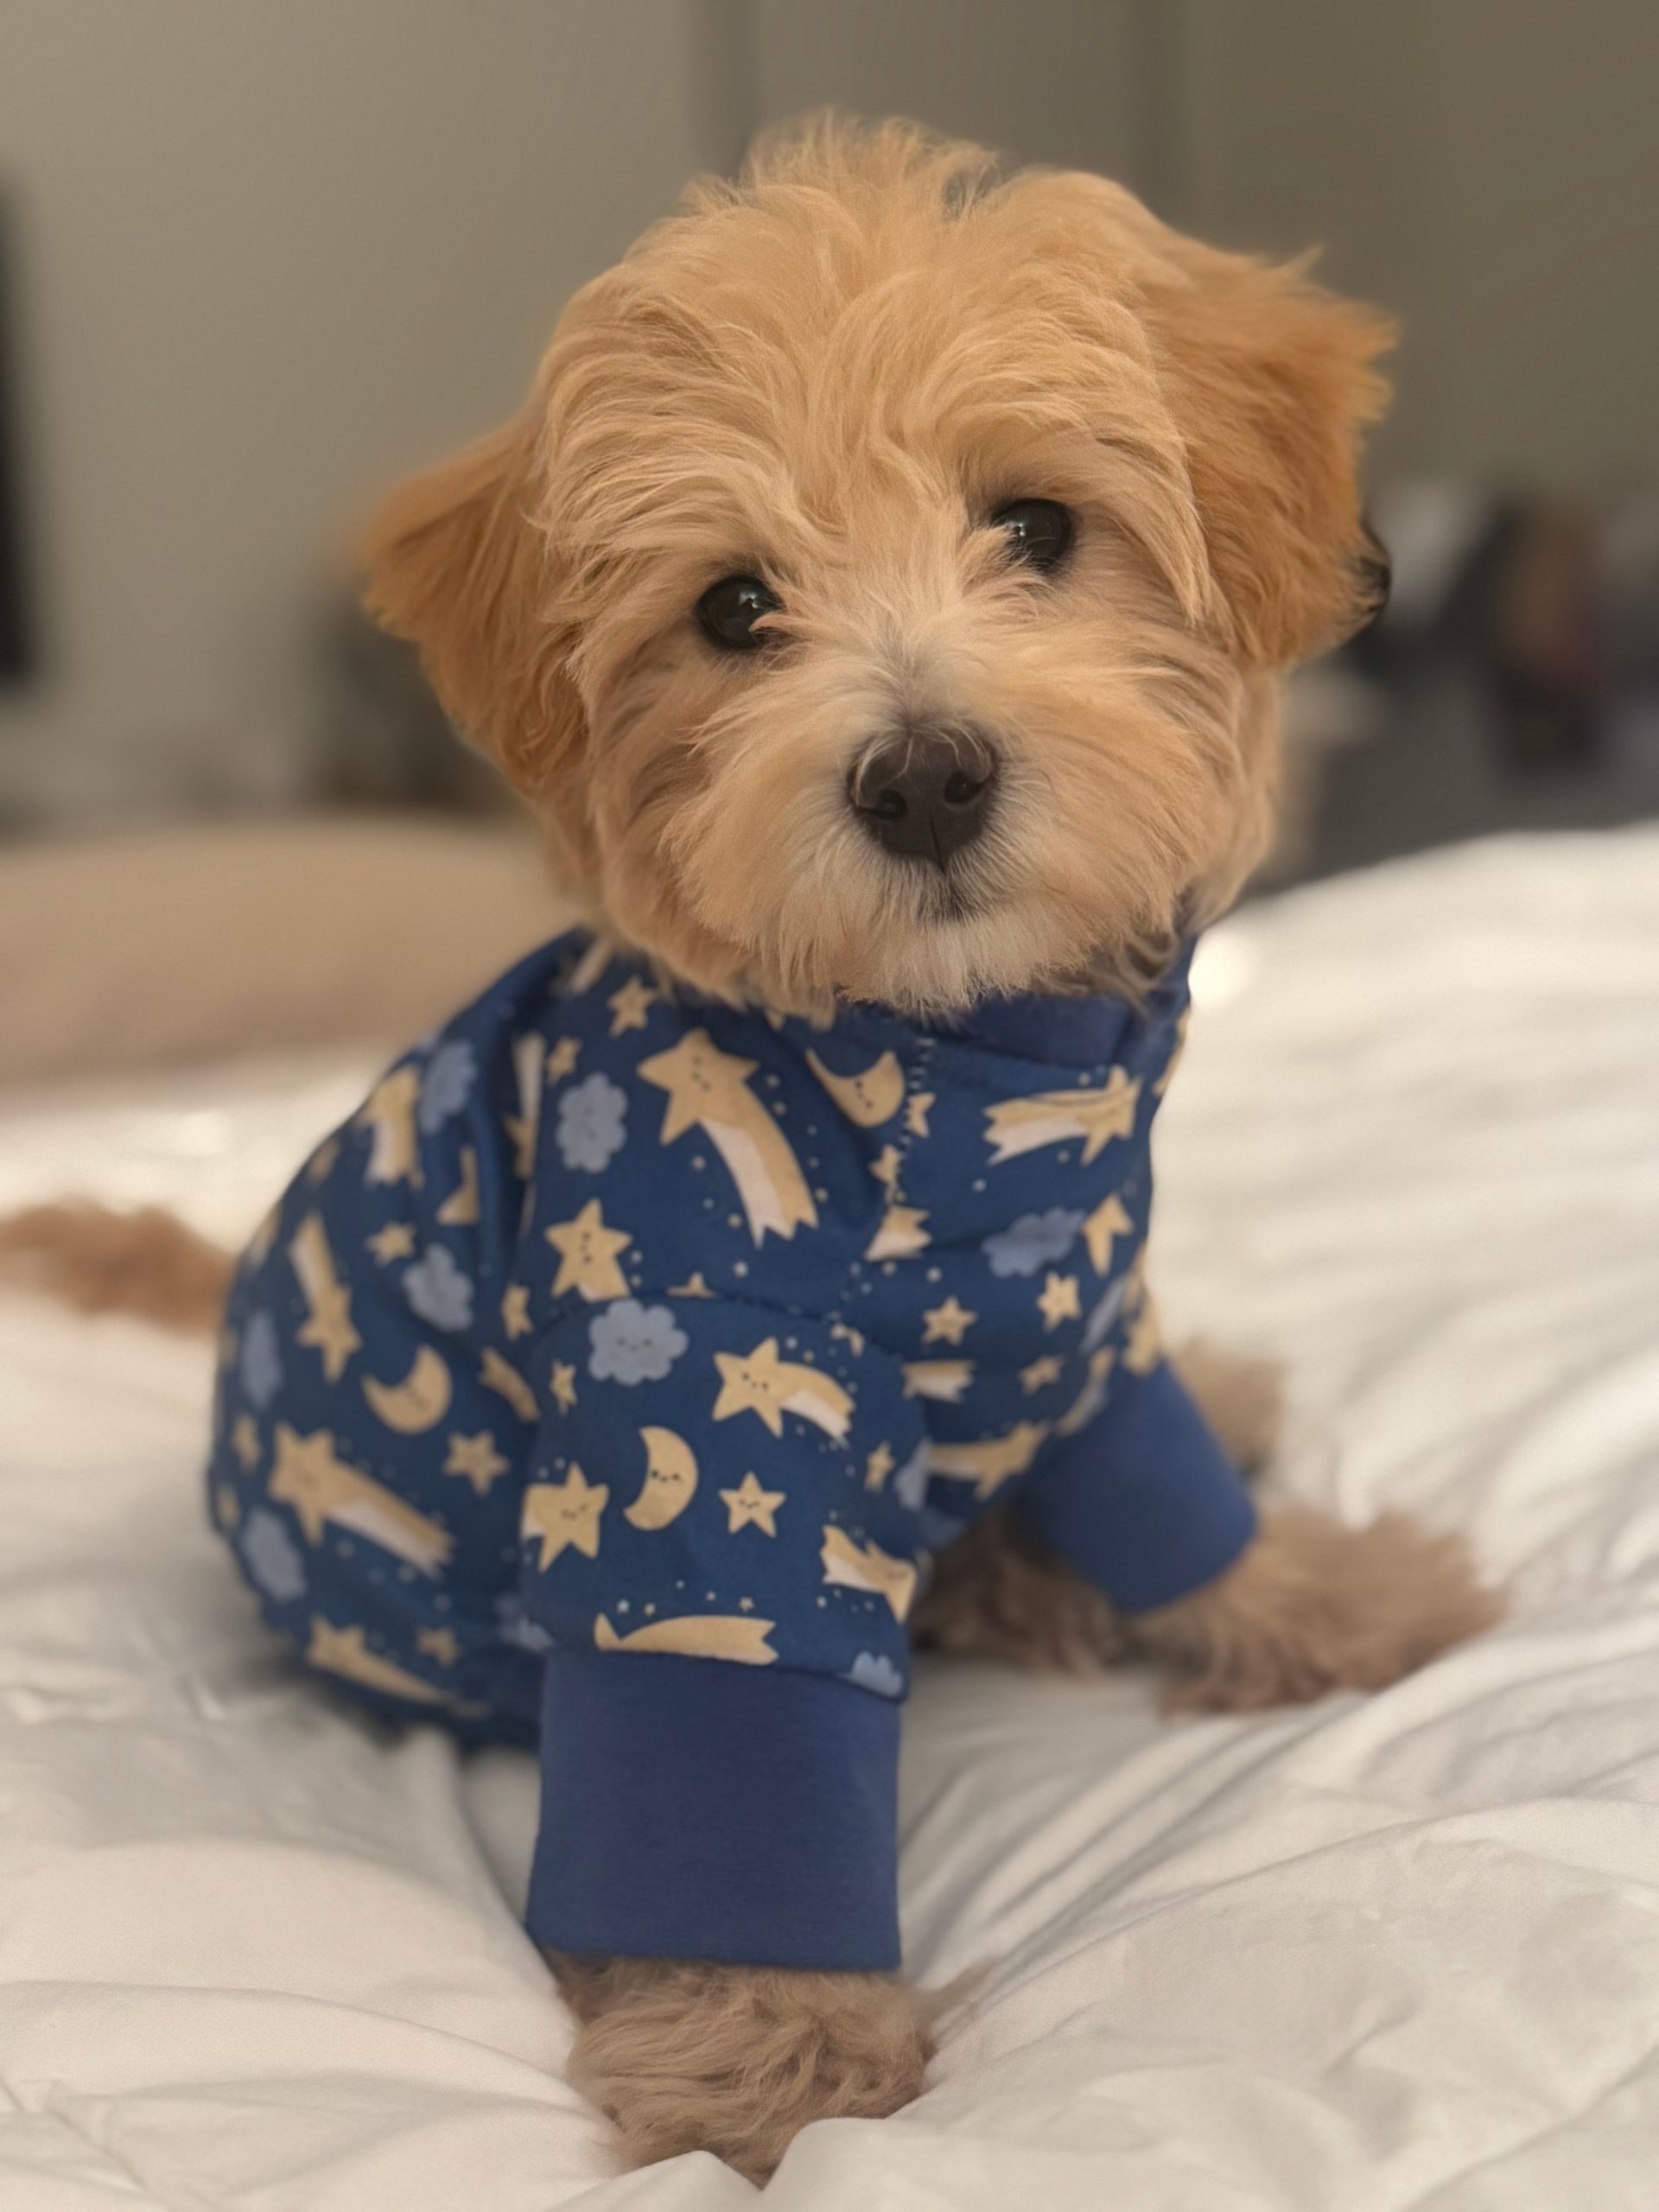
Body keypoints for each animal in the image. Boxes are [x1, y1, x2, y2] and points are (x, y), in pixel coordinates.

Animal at [2, 119, 1499, 2185]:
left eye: (1038, 527)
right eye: (731, 608)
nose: (925, 774)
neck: (961, 1105)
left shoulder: (1079, 1323)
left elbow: (1172, 1496)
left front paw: (1320, 1595)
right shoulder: (698, 1446)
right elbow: (736, 1758)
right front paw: (775, 2056)